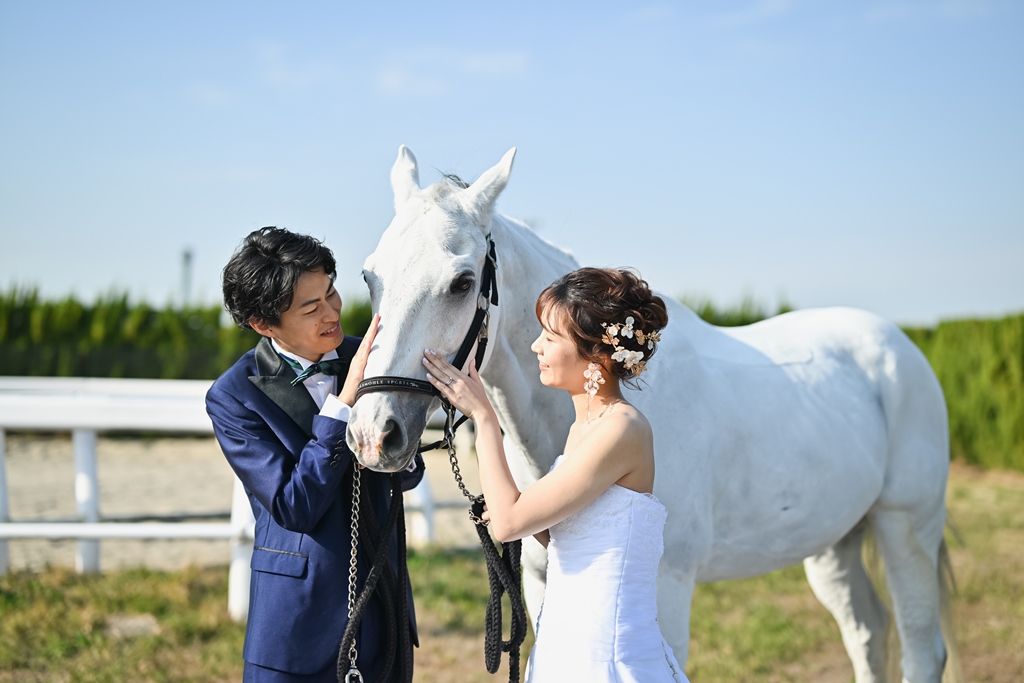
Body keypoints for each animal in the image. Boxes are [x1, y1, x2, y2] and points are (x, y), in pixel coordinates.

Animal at [348, 147, 954, 679]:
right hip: (835, 544)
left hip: (907, 528)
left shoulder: (669, 588)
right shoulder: (545, 581)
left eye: (463, 282)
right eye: (370, 276)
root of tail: (904, 349)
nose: (373, 434)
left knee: (922, 649)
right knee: (868, 635)